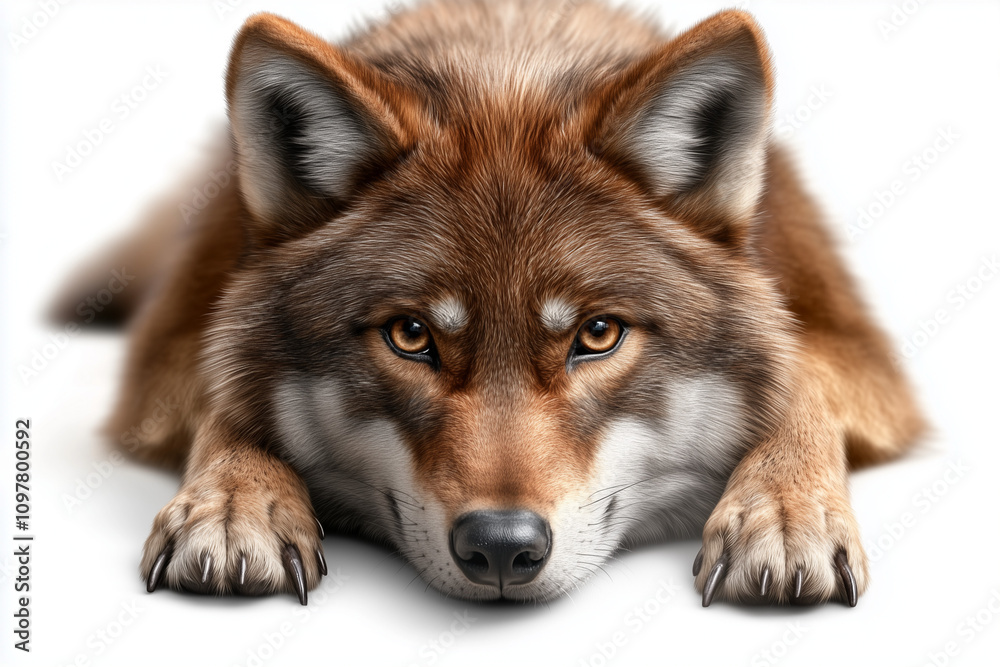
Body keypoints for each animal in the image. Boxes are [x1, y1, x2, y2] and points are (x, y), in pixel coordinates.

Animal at [57, 0, 924, 606]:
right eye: (410, 335)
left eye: (598, 334)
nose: (502, 546)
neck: (506, 64)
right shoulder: (174, 349)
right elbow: (224, 394)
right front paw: (235, 504)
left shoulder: (857, 352)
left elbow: (802, 378)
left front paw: (786, 515)